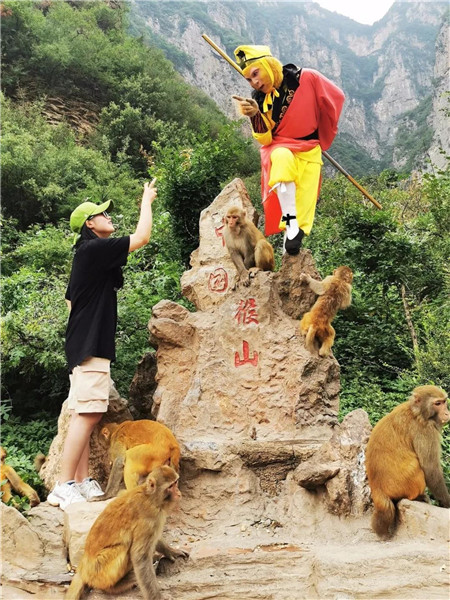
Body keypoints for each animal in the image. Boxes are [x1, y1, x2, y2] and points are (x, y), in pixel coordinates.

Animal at [66, 465, 188, 600]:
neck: (151, 497)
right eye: (170, 486)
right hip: (99, 571)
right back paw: (114, 587)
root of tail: (82, 568)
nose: (178, 492)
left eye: (175, 482)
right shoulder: (148, 520)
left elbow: (156, 539)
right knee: (123, 547)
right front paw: (156, 597)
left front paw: (171, 551)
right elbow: (140, 557)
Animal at [365, 385, 450, 539]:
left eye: (444, 402)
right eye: (437, 403)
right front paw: (447, 502)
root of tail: (376, 488)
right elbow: (430, 468)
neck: (417, 412)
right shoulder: (425, 430)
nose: (447, 413)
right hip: (403, 485)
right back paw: (417, 497)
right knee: (415, 466)